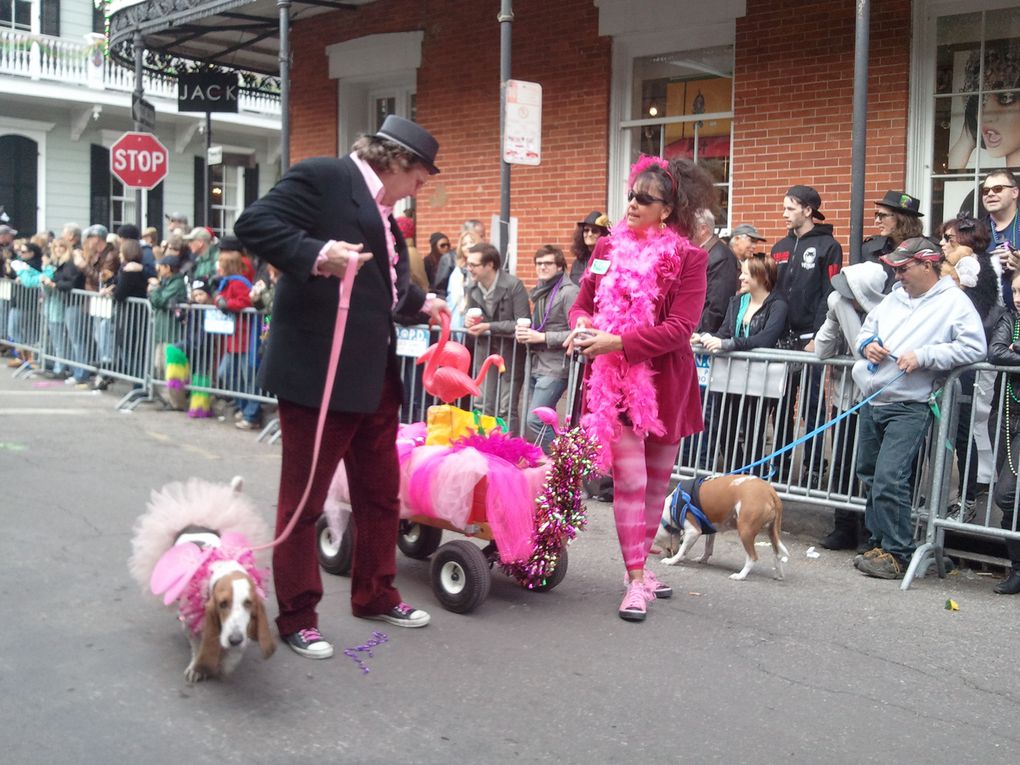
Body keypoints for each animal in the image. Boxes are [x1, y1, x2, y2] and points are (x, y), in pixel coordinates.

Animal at [129, 479, 277, 681]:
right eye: (222, 604)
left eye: (249, 603)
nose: (235, 640)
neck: (223, 567)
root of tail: (195, 524)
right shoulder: (195, 623)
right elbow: (197, 645)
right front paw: (196, 668)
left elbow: (234, 654)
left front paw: (227, 662)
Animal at [652, 473, 787, 579]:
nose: (669, 554)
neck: (672, 507)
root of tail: (770, 491)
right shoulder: (711, 530)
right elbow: (708, 548)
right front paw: (702, 559)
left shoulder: (693, 531)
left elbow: (682, 551)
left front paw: (672, 561)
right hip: (772, 532)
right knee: (778, 554)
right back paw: (778, 575)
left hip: (745, 531)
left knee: (752, 557)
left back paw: (740, 575)